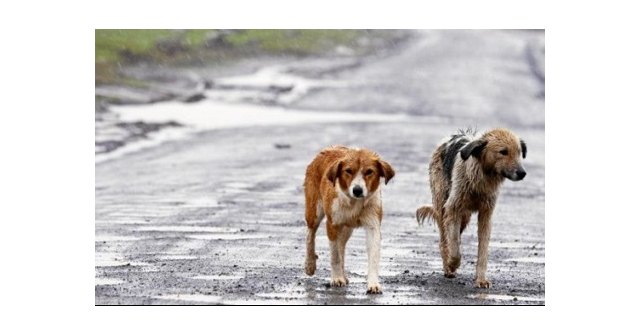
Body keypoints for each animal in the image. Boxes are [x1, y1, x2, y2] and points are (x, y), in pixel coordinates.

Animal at [304, 146, 396, 296]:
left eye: (369, 172)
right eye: (348, 171)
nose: (357, 190)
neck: (354, 203)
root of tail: (328, 148)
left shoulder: (373, 226)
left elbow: (373, 257)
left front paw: (373, 284)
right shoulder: (332, 224)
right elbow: (335, 256)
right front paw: (336, 278)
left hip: (347, 228)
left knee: (341, 245)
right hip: (314, 212)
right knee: (310, 235)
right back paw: (310, 264)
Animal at [418, 129, 528, 288]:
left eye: (519, 152)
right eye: (503, 152)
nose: (522, 173)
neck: (481, 179)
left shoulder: (486, 215)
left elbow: (483, 250)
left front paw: (481, 279)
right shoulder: (452, 209)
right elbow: (454, 247)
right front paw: (452, 264)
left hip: (465, 216)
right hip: (443, 207)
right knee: (444, 240)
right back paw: (448, 268)